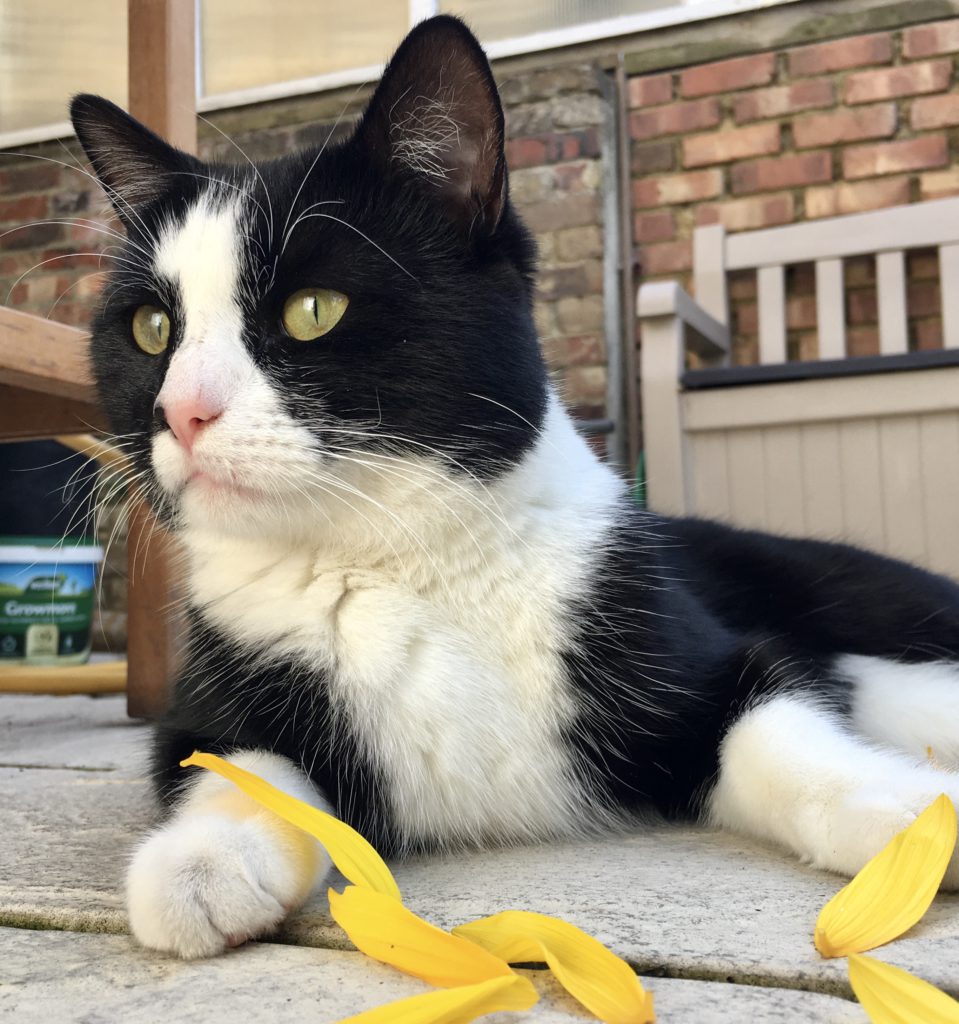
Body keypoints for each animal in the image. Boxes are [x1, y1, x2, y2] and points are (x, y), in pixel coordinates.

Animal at [71, 16, 957, 958]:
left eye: (313, 310)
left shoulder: (694, 644)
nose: (180, 412)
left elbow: (772, 721)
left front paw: (911, 819)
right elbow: (229, 763)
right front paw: (202, 862)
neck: (394, 561)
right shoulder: (210, 687)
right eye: (150, 327)